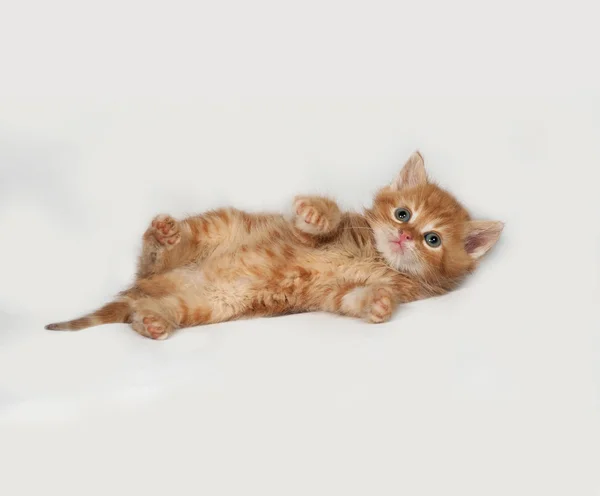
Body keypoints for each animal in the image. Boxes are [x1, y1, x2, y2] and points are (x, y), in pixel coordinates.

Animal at [45, 150, 502, 340]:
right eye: (403, 214)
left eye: (432, 240)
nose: (405, 236)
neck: (374, 254)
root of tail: (141, 291)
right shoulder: (303, 234)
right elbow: (317, 224)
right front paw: (317, 213)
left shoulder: (333, 294)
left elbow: (354, 299)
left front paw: (378, 304)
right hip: (217, 226)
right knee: (151, 258)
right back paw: (165, 236)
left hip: (204, 305)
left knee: (145, 312)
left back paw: (153, 322)